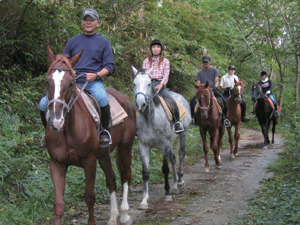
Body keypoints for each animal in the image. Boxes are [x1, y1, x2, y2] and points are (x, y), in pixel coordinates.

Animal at [44, 46, 136, 225]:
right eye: (47, 81)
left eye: (71, 83)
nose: (56, 121)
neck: (67, 129)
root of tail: (125, 99)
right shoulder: (57, 164)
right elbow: (58, 204)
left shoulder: (89, 161)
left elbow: (89, 196)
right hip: (104, 154)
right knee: (111, 179)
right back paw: (113, 217)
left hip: (125, 147)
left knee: (125, 175)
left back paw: (124, 214)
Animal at [131, 65, 190, 209]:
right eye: (134, 84)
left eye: (148, 84)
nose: (140, 105)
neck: (150, 119)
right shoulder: (143, 146)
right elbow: (145, 172)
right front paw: (144, 200)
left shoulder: (164, 144)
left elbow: (165, 169)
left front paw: (167, 194)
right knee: (173, 159)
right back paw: (175, 185)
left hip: (183, 134)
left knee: (181, 155)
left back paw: (180, 181)